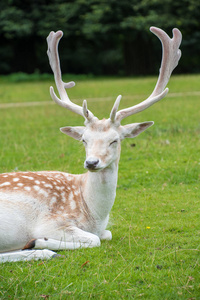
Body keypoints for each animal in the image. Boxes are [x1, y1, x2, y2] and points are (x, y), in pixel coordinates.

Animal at [0, 27, 181, 262]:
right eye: (84, 139)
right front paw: (39, 241)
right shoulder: (51, 222)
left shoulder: (102, 228)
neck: (94, 215)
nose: (92, 163)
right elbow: (94, 239)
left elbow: (106, 234)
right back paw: (42, 249)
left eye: (115, 140)